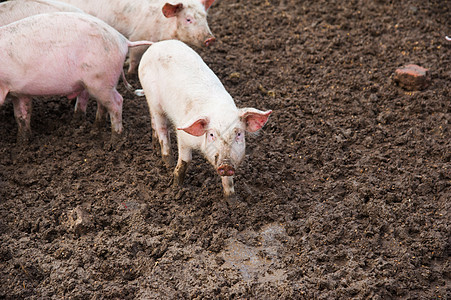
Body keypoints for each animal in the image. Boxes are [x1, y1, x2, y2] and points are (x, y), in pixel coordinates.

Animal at [0, 11, 153, 142]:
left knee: (117, 102)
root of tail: (123, 40)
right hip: (103, 81)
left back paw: (115, 140)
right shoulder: (19, 92)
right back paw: (95, 129)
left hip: (100, 79)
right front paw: (22, 142)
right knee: (103, 104)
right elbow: (21, 115)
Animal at [57, 0, 217, 74]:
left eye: (205, 17)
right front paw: (130, 72)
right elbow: (134, 58)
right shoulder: (138, 36)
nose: (210, 39)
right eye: (188, 19)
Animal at [138, 40, 272, 199]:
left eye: (239, 134)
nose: (226, 164)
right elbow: (185, 161)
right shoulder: (183, 136)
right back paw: (168, 162)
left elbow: (228, 180)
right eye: (212, 134)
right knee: (161, 128)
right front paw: (176, 187)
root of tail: (156, 44)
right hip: (152, 98)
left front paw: (233, 200)